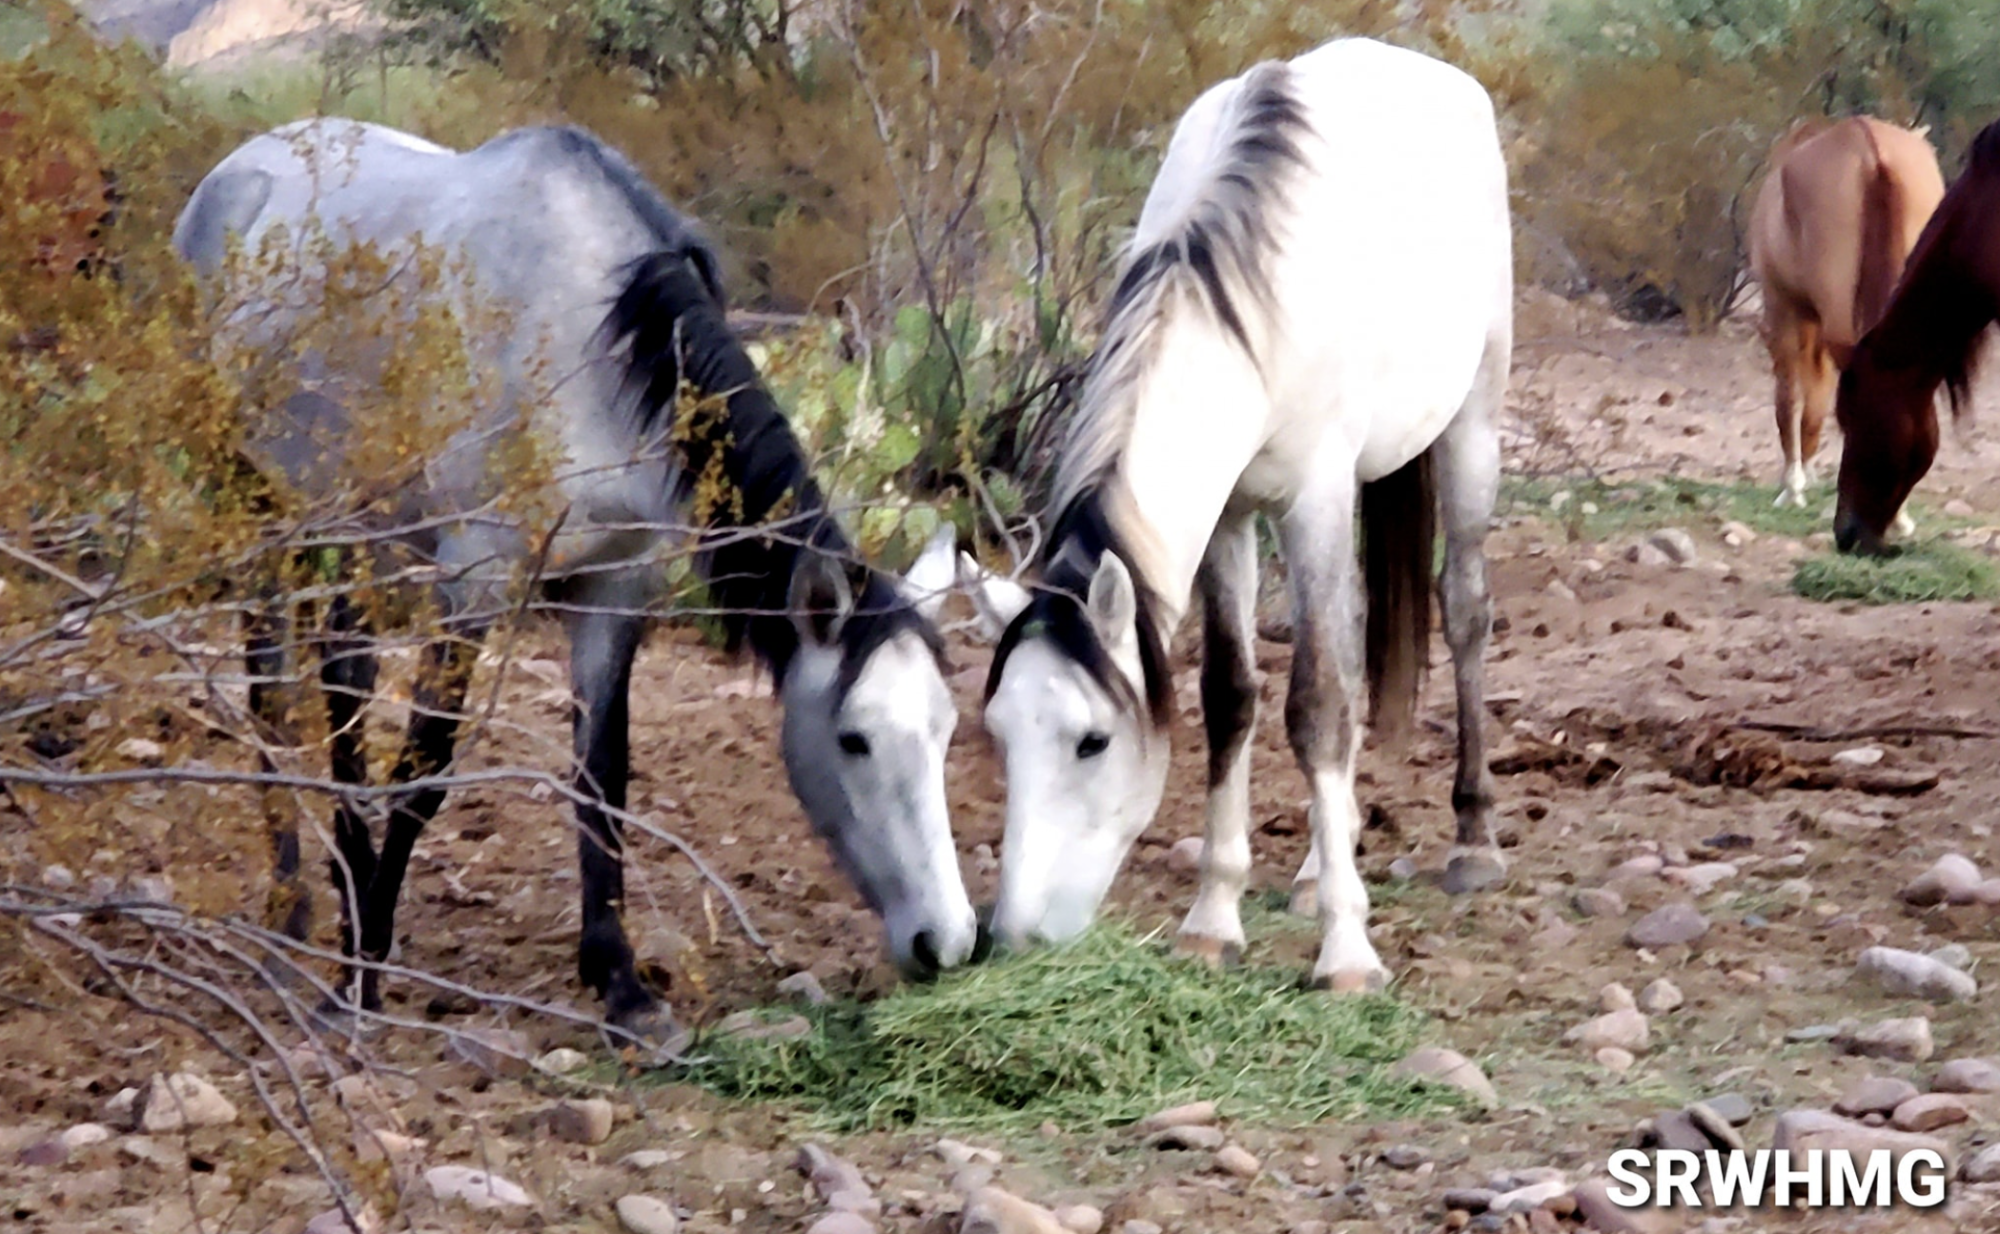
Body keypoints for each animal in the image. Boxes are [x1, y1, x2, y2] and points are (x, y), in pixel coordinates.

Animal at [174, 119, 981, 1042]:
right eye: (854, 739)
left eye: (946, 730)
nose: (947, 942)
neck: (593, 344)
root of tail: (236, 171)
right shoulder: (475, 581)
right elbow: (423, 772)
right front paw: (361, 981)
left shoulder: (616, 587)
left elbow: (602, 774)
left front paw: (621, 984)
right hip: (257, 505)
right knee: (274, 693)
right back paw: (296, 910)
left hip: (361, 525)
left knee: (345, 674)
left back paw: (344, 883)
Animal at [965, 38, 1511, 992]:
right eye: (998, 734)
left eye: (1092, 742)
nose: (1014, 939)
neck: (1251, 294)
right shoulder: (1224, 519)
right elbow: (1232, 696)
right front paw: (1213, 918)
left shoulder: (1315, 498)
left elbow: (1317, 706)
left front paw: (1346, 953)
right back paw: (1319, 866)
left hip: (1472, 424)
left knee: (1465, 611)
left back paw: (1472, 840)